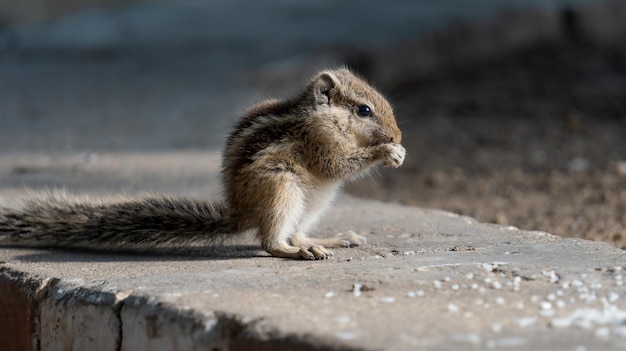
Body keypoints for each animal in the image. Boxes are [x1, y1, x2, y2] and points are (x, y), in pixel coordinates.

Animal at [0, 69, 404, 262]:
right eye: (363, 110)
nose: (399, 134)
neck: (322, 115)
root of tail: (241, 212)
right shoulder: (319, 140)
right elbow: (336, 164)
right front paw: (388, 153)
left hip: (314, 202)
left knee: (297, 232)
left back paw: (327, 240)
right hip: (281, 187)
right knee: (272, 242)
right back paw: (299, 252)